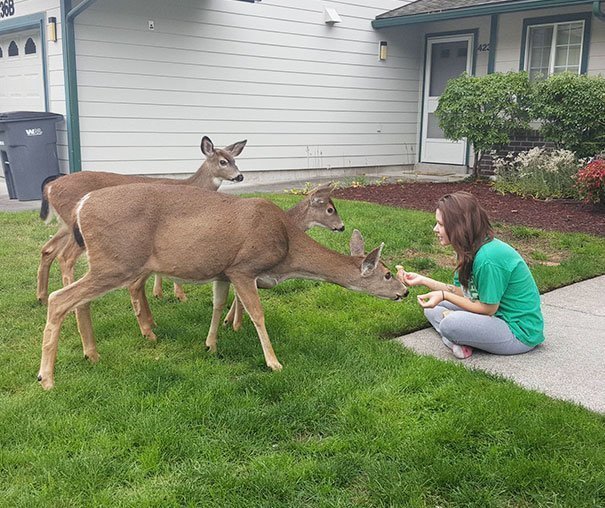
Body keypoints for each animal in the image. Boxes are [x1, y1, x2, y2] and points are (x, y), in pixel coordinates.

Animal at [36, 134, 245, 306]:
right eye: (223, 162)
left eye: (235, 160)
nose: (240, 176)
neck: (191, 184)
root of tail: (50, 186)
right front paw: (179, 295)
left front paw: (158, 293)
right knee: (66, 256)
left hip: (66, 225)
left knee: (49, 250)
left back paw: (42, 297)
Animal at [36, 184, 406, 388]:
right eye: (388, 274)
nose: (404, 292)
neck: (287, 250)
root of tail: (82, 205)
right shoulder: (243, 267)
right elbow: (257, 314)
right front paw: (274, 363)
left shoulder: (222, 272)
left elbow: (217, 305)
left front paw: (211, 345)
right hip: (118, 261)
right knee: (59, 298)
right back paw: (47, 378)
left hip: (109, 263)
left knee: (77, 299)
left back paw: (92, 354)